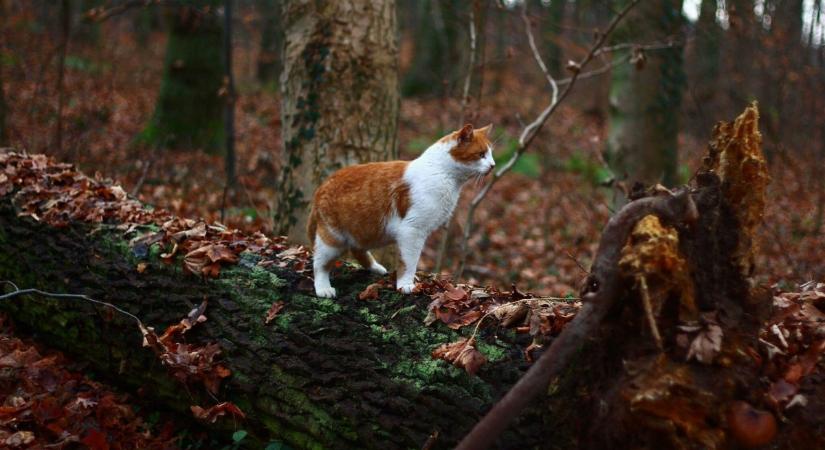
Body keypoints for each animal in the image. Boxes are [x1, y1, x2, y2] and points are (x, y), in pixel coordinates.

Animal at [306, 124, 492, 298]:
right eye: (481, 154)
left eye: (491, 154)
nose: (493, 165)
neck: (441, 172)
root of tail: (321, 187)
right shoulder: (412, 231)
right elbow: (408, 262)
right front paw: (405, 284)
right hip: (333, 238)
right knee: (319, 263)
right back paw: (323, 288)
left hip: (364, 230)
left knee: (357, 249)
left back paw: (375, 268)